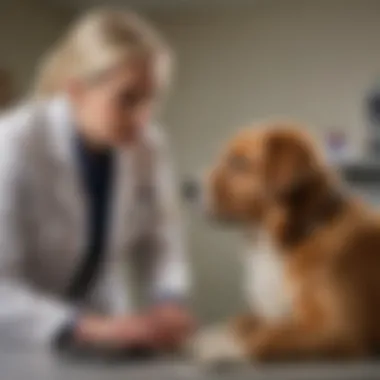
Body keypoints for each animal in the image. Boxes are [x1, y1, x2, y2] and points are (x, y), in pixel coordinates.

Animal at [196, 121, 380, 362]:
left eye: (239, 163)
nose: (192, 187)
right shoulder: (274, 312)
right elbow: (241, 321)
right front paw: (209, 336)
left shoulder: (338, 328)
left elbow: (265, 338)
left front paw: (222, 349)